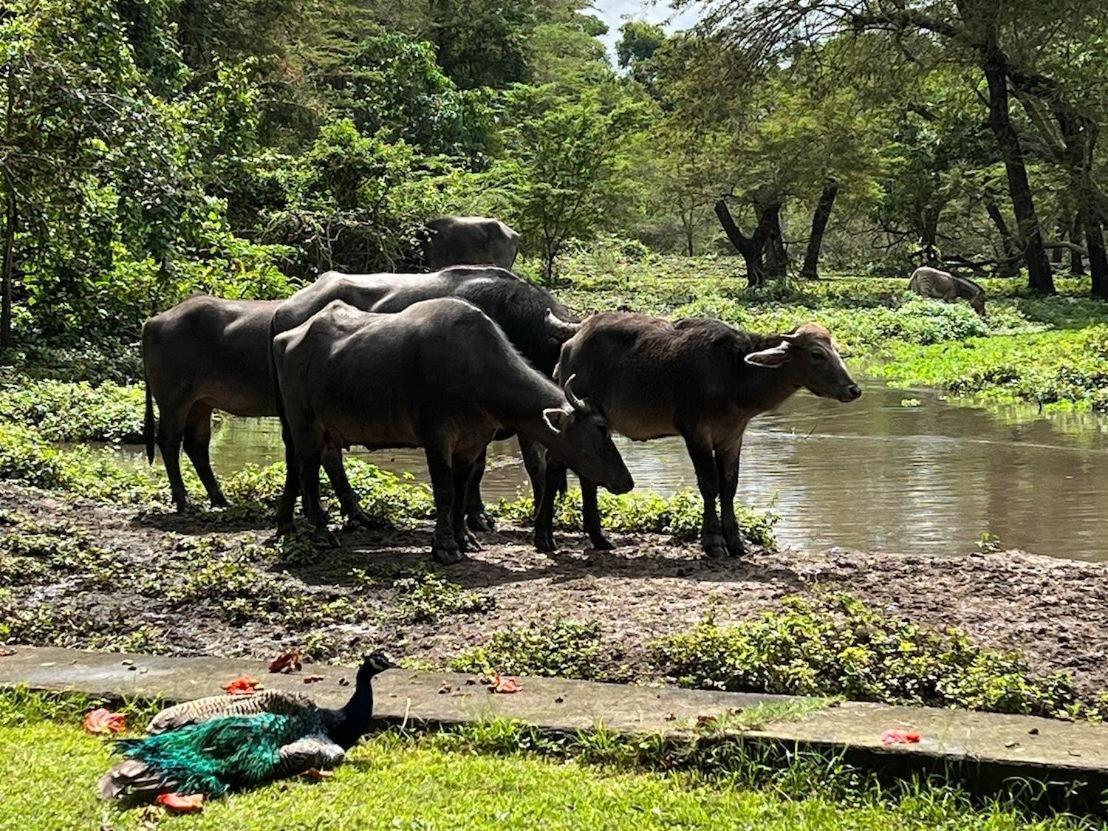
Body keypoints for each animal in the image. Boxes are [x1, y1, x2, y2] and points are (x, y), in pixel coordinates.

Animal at [141, 267, 576, 520]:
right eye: (558, 354)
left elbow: (532, 465)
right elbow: (480, 468)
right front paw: (478, 515)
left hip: (204, 404)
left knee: (202, 446)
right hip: (179, 399)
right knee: (171, 441)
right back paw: (185, 500)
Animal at [270, 299, 633, 567]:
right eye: (601, 429)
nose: (626, 481)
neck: (476, 371)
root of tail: (285, 339)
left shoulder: (470, 444)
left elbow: (461, 492)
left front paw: (465, 539)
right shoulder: (436, 438)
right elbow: (444, 492)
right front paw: (445, 547)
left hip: (319, 430)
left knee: (305, 467)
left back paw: (288, 524)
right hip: (304, 425)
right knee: (307, 473)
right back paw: (319, 531)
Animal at [531, 314, 859, 562]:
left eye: (836, 350)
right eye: (816, 354)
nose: (853, 389)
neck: (732, 373)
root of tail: (573, 339)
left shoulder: (732, 437)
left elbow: (729, 486)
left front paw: (736, 540)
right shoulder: (696, 433)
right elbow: (709, 484)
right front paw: (713, 541)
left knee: (586, 470)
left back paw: (598, 537)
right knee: (556, 462)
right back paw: (543, 536)